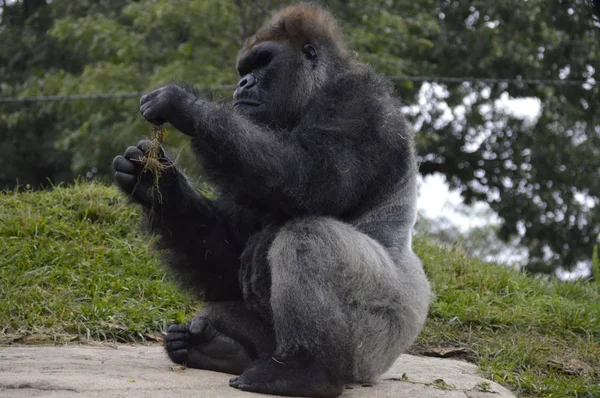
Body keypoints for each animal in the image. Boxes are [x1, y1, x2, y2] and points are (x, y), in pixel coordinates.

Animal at [113, 3, 432, 398]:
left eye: (263, 62)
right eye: (244, 70)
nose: (242, 84)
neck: (313, 92)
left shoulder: (358, 100)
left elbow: (313, 182)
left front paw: (184, 105)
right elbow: (225, 260)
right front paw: (157, 186)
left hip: (379, 346)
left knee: (309, 238)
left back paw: (307, 372)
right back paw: (220, 348)